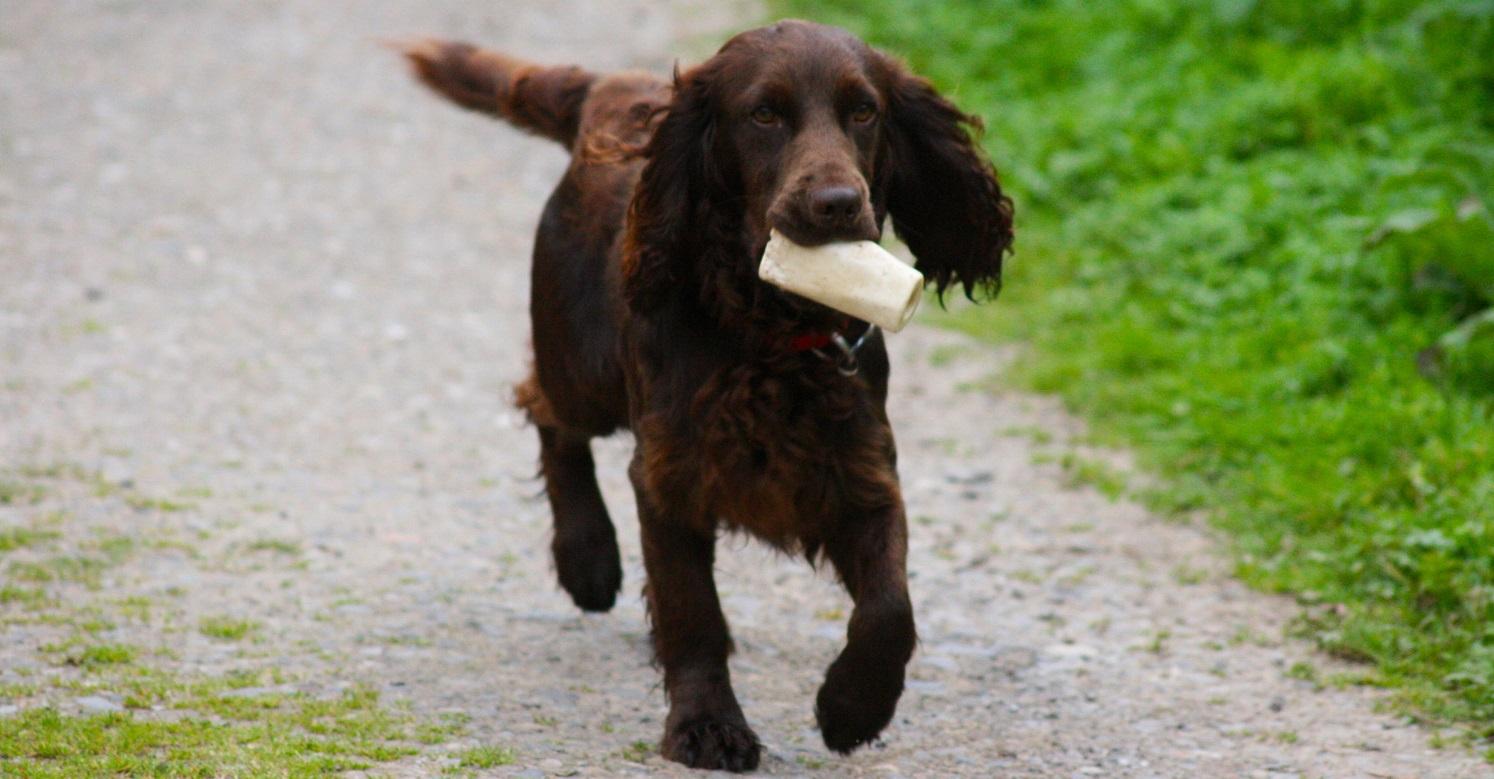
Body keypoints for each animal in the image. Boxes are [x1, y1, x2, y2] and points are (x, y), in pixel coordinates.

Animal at [403, 21, 1009, 765]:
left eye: (864, 111)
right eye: (764, 114)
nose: (837, 205)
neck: (770, 337)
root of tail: (612, 90)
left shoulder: (861, 473)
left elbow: (891, 608)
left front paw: (851, 707)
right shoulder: (672, 477)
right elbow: (693, 611)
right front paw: (707, 725)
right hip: (582, 364)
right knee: (547, 411)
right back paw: (586, 557)